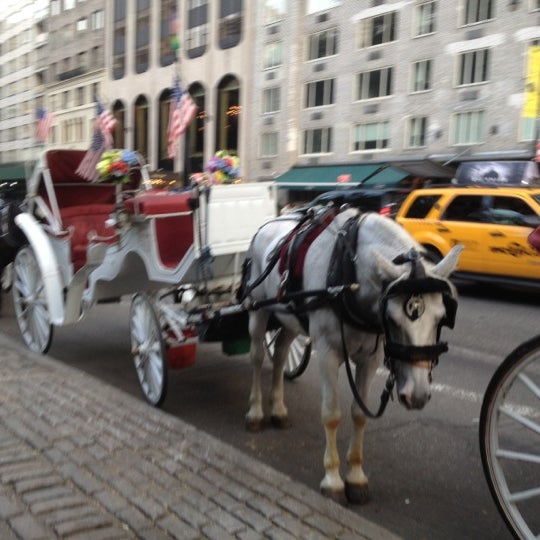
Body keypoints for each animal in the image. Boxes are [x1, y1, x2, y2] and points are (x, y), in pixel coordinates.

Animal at [243, 209, 462, 504]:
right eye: (392, 320)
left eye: (441, 318)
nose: (416, 395)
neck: (349, 277)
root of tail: (270, 222)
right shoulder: (326, 353)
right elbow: (331, 414)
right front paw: (333, 479)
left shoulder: (370, 358)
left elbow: (359, 414)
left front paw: (356, 477)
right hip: (258, 310)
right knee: (256, 358)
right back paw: (255, 412)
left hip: (289, 316)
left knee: (279, 355)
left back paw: (277, 409)